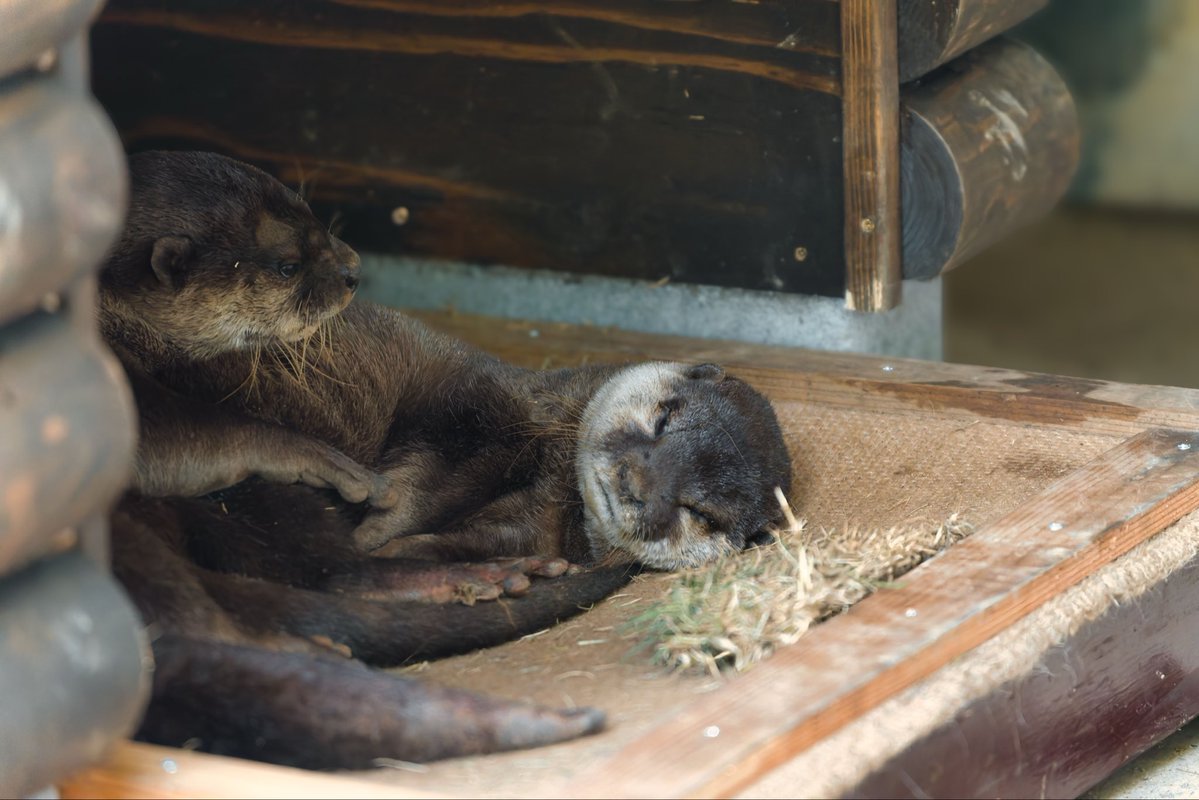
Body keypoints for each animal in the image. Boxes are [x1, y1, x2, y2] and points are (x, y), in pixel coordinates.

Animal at [101, 151, 792, 770]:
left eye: (697, 512)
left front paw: (429, 549)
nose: (638, 483)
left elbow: (432, 533)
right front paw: (383, 516)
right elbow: (426, 466)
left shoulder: (519, 525)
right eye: (664, 418)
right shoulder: (471, 402)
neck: (547, 464)